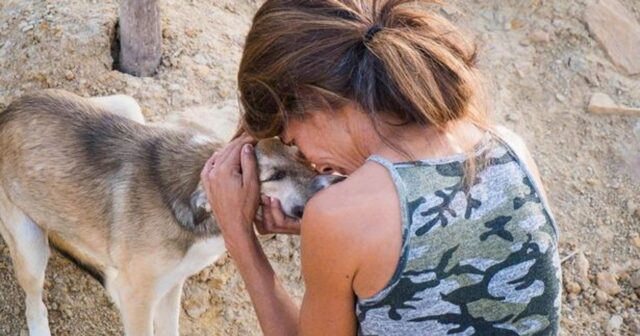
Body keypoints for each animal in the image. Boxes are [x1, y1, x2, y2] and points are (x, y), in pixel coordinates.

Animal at [0, 90, 340, 336]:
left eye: (302, 156)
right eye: (275, 176)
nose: (335, 183)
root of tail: (7, 112)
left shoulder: (170, 286)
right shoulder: (139, 296)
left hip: (126, 105)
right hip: (30, 247)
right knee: (35, 304)